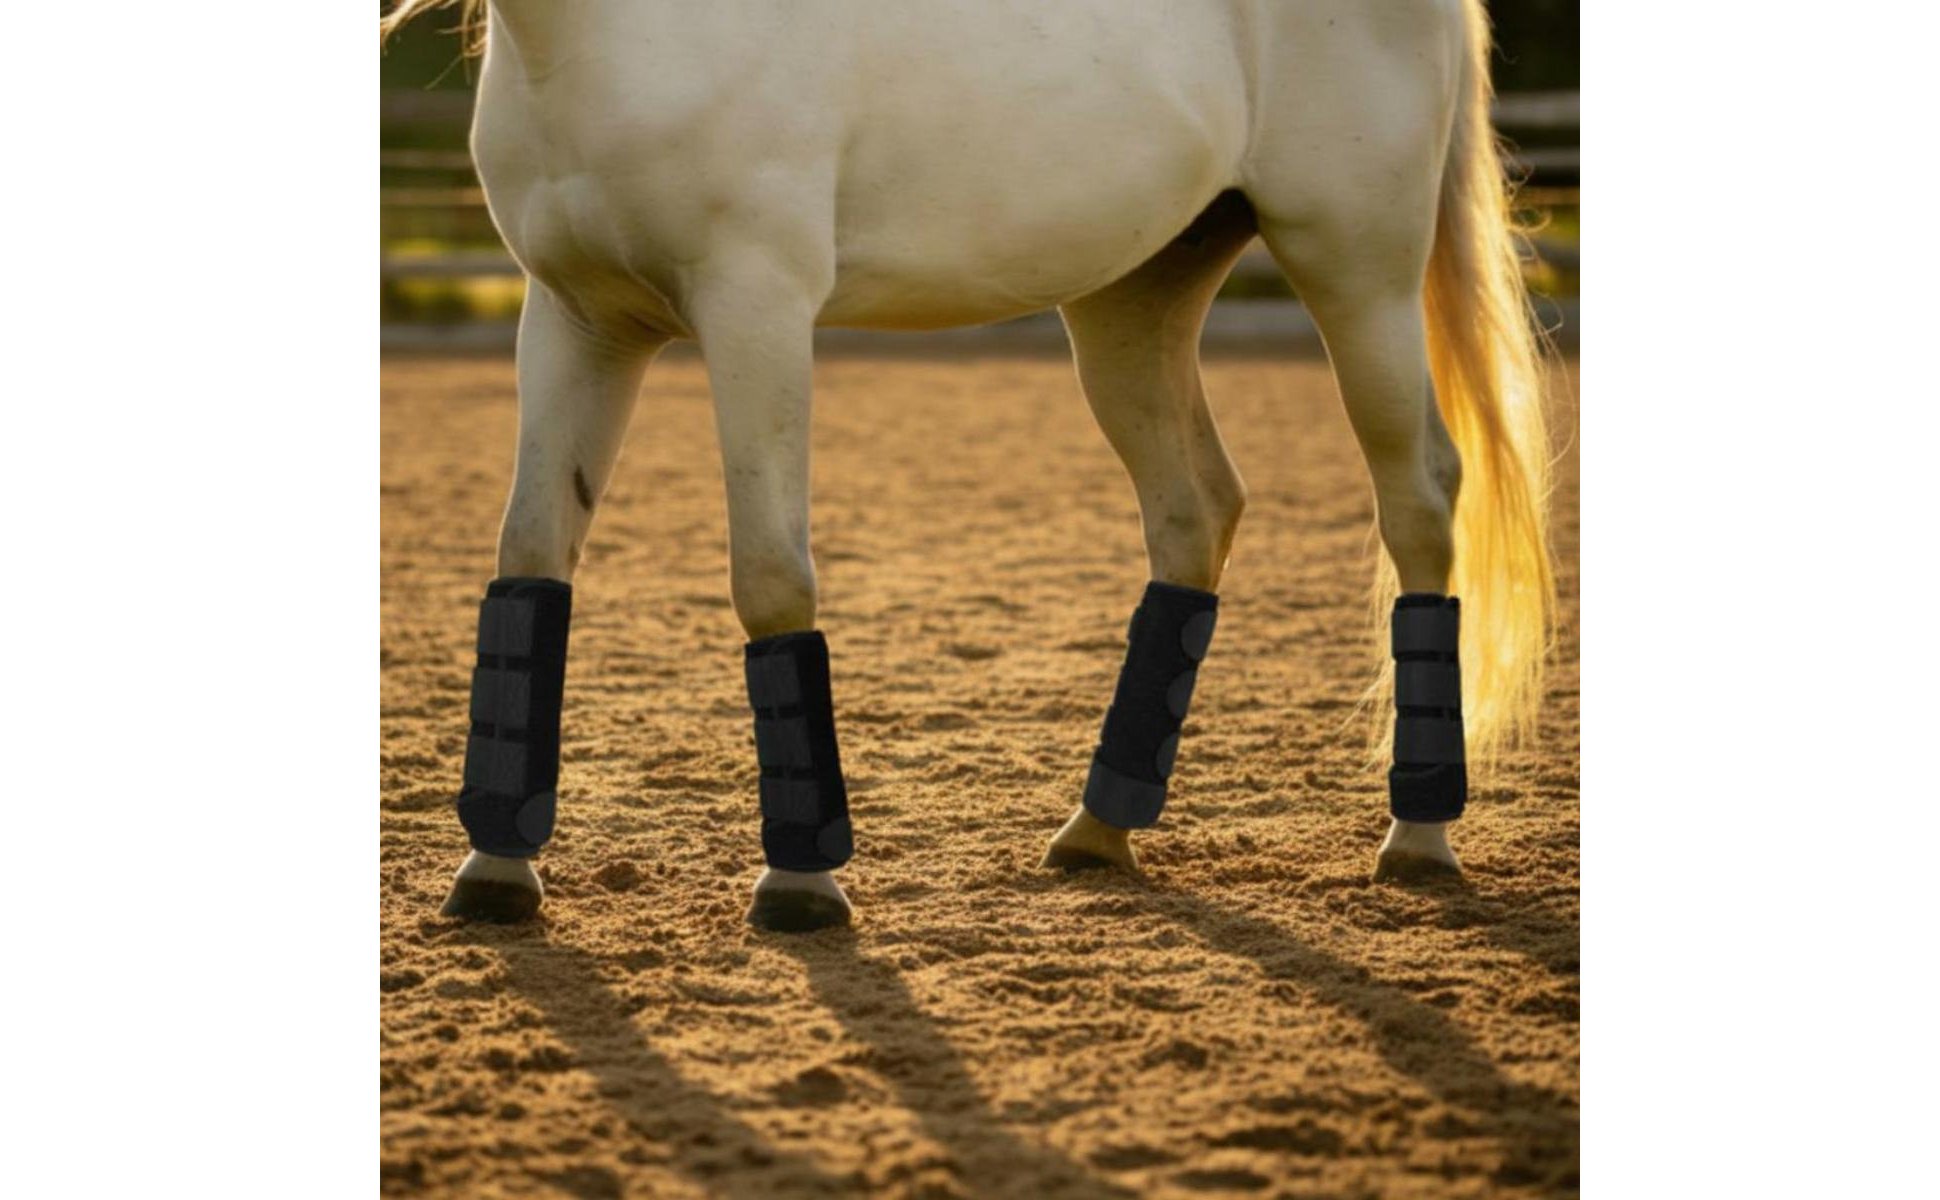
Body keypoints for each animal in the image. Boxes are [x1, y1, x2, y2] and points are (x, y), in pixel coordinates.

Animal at [382, 0, 1553, 932]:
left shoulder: (756, 309)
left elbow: (771, 579)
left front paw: (801, 884)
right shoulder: (575, 322)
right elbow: (531, 556)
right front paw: (496, 868)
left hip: (1356, 271)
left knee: (1419, 500)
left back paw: (1417, 840)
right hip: (1133, 300)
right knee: (1195, 508)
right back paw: (1098, 829)